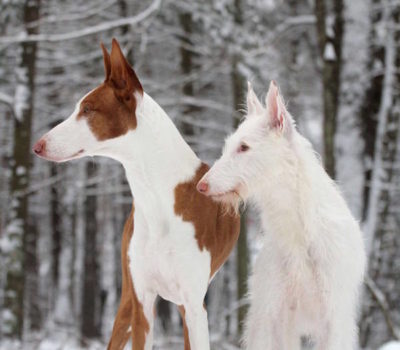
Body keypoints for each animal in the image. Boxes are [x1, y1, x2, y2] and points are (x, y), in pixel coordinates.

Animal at [32, 39, 239, 350]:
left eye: (88, 109)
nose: (37, 145)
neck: (156, 198)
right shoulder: (142, 304)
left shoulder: (194, 305)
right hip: (128, 300)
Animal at [197, 82, 366, 350]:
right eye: (228, 147)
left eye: (243, 147)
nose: (200, 186)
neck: (299, 235)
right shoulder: (274, 317)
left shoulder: (334, 320)